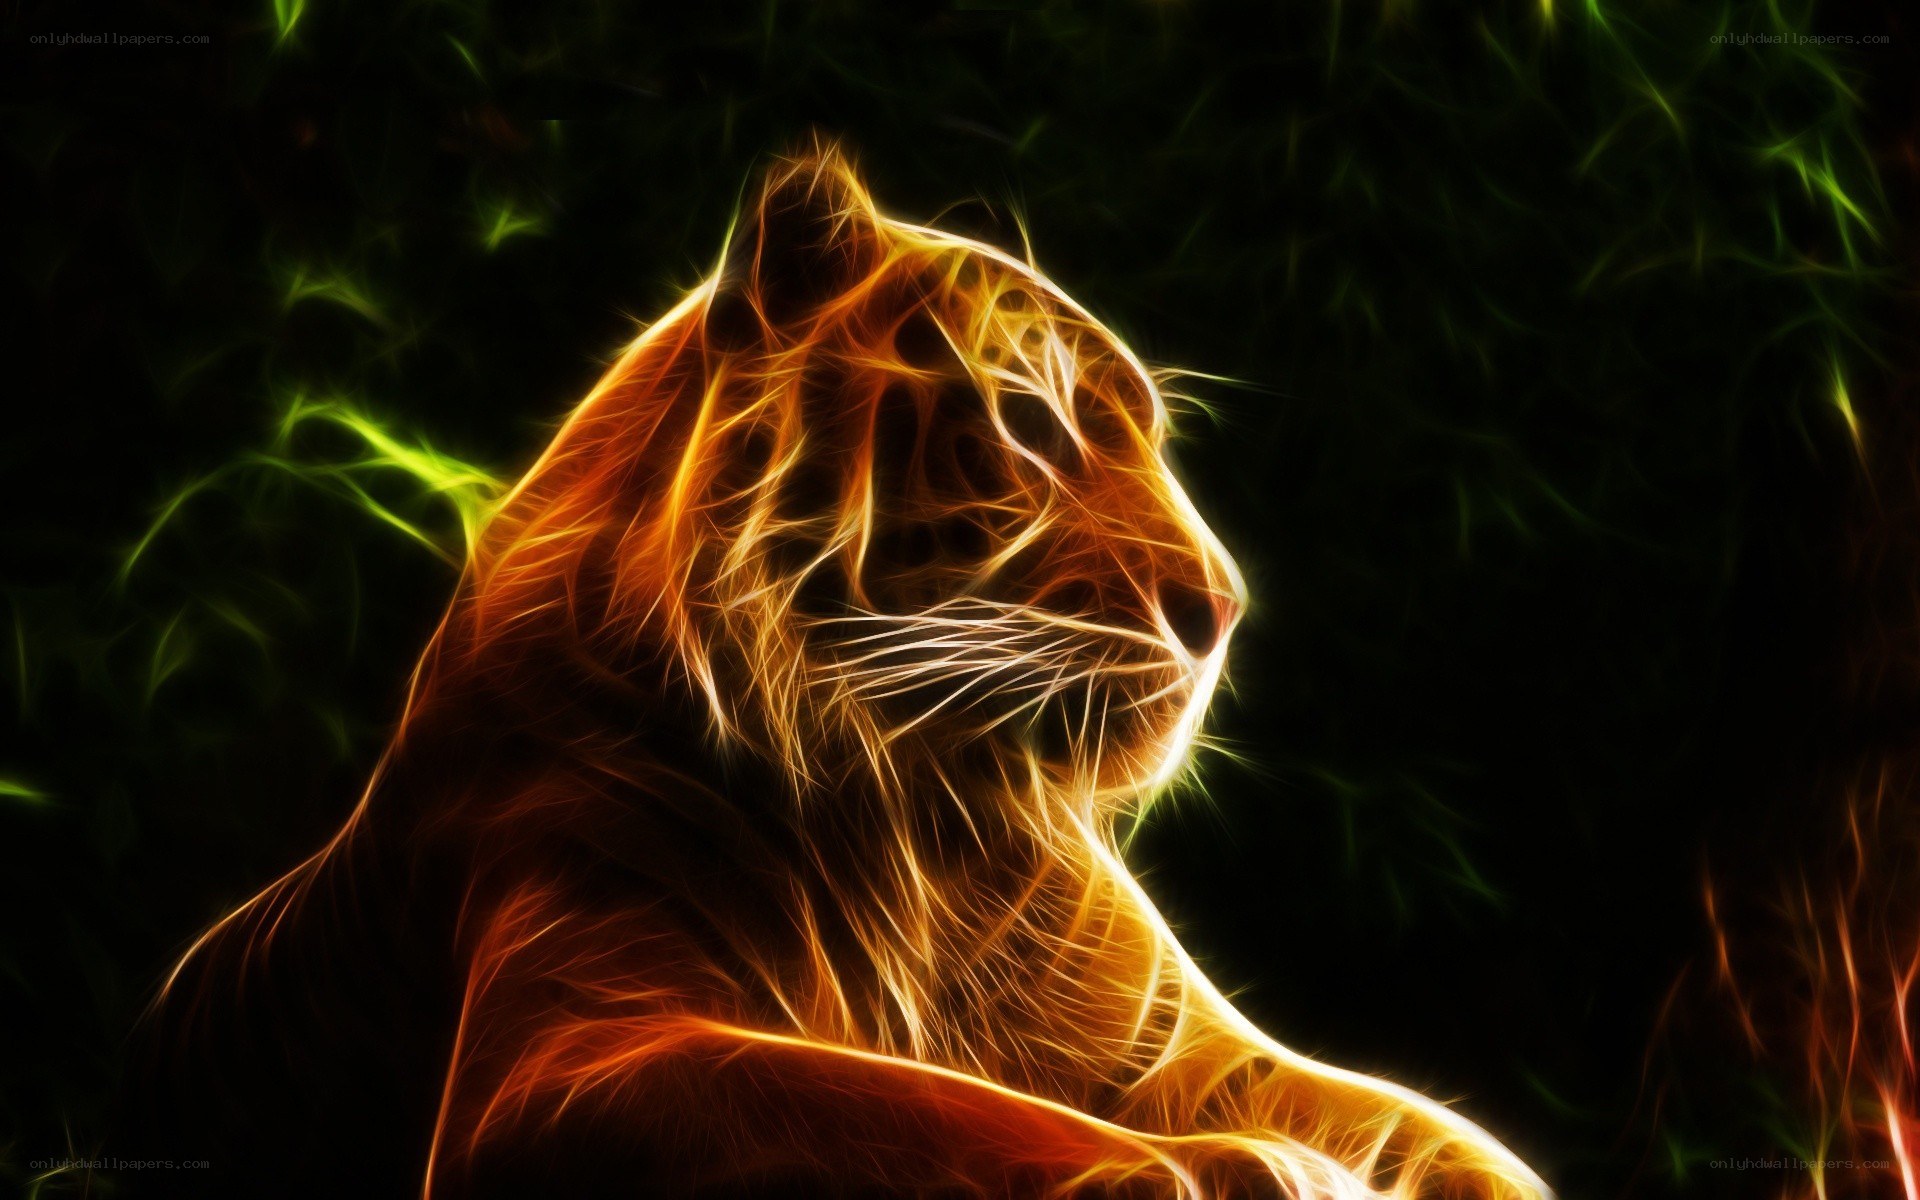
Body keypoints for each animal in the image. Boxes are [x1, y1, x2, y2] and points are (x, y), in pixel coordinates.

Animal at [132, 139, 1550, 1200]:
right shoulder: (568, 1051)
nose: (1223, 608)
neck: (930, 830)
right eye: (1028, 423)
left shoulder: (1183, 1049)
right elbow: (931, 1113)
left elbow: (1435, 1132)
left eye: (1149, 435)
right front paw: (1246, 1171)